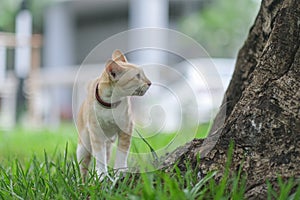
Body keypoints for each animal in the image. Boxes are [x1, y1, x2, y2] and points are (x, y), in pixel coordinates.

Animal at [76, 50, 151, 181]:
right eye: (137, 76)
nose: (150, 83)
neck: (110, 105)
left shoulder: (126, 128)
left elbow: (122, 153)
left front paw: (120, 172)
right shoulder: (96, 133)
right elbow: (99, 158)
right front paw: (101, 176)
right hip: (83, 147)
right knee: (83, 168)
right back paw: (83, 182)